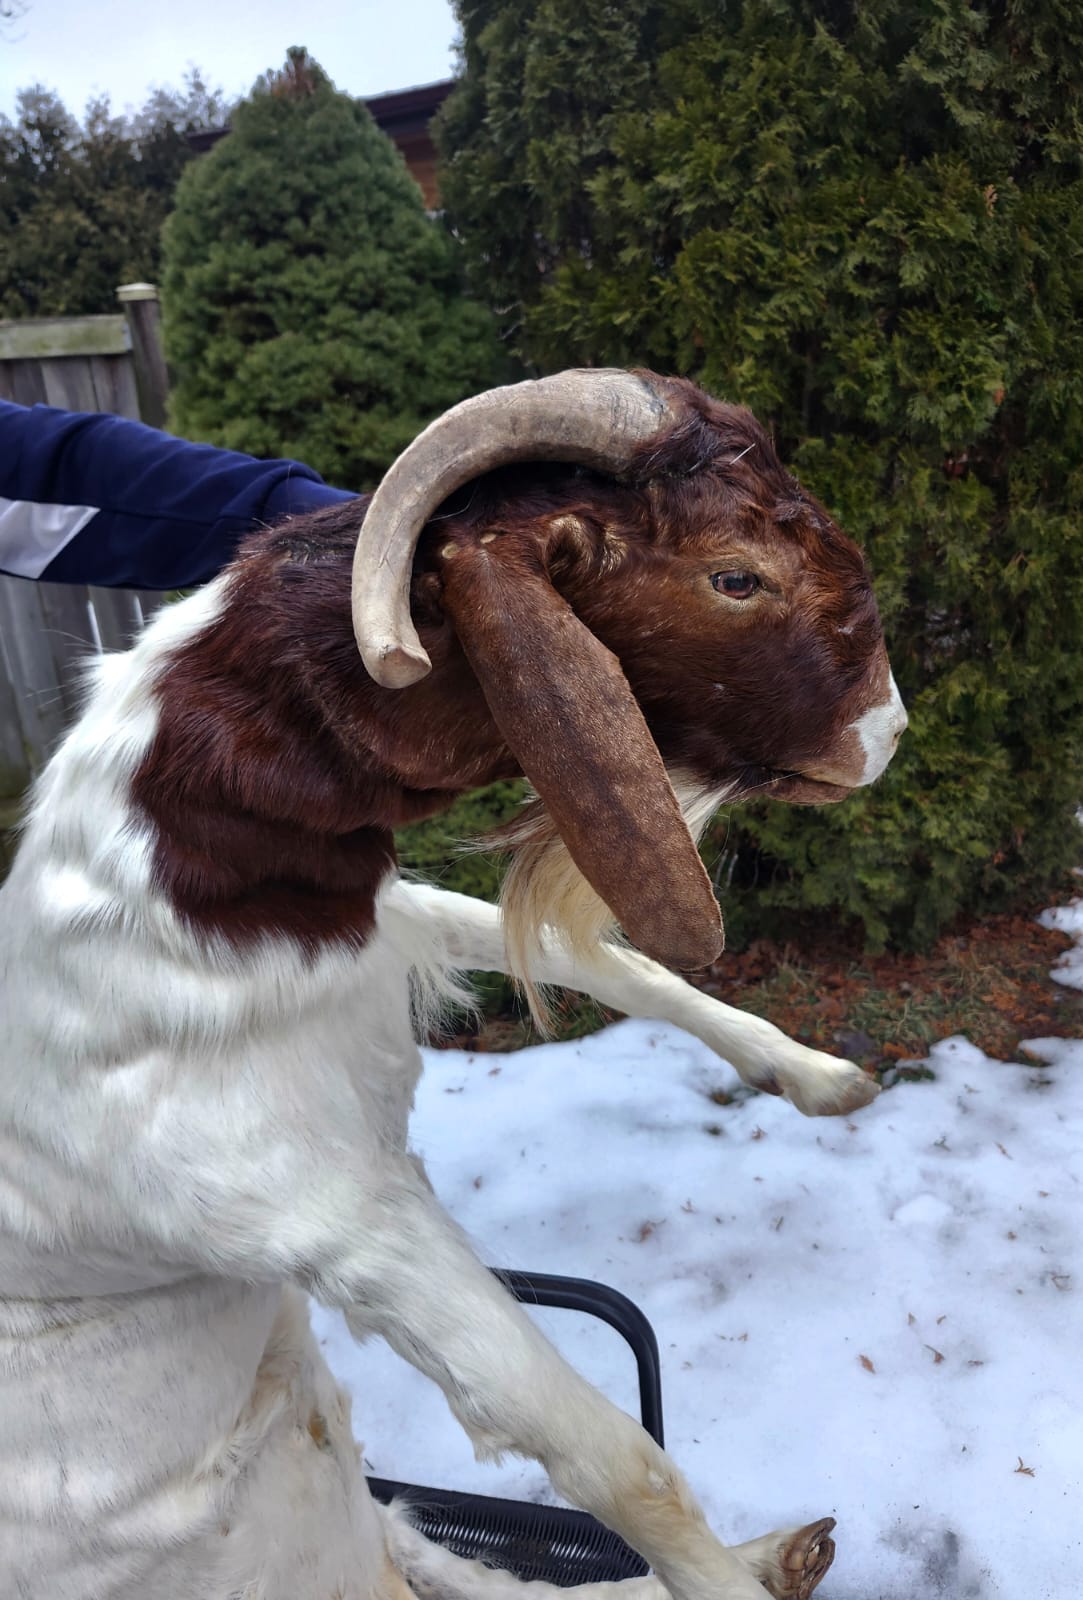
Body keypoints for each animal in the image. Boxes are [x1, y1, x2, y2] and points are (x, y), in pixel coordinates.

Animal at [0, 370, 906, 1600]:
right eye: (735, 575)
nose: (890, 731)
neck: (163, 929)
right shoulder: (351, 1226)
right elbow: (619, 1464)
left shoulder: (386, 931)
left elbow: (606, 962)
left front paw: (810, 1074)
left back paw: (785, 1554)